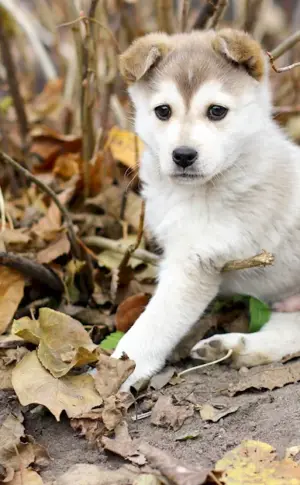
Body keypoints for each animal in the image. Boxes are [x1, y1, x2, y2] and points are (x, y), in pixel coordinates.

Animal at [111, 28, 300, 390]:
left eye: (216, 111)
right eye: (163, 111)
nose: (183, 155)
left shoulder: (195, 263)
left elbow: (151, 327)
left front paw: (114, 372)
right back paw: (232, 347)